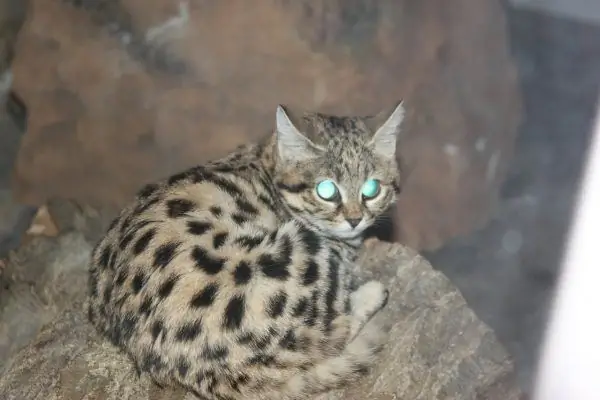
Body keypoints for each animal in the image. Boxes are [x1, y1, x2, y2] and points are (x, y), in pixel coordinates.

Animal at [88, 101, 408, 400]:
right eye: (326, 191)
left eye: (372, 188)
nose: (355, 220)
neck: (265, 162)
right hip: (301, 253)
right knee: (334, 333)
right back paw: (372, 292)